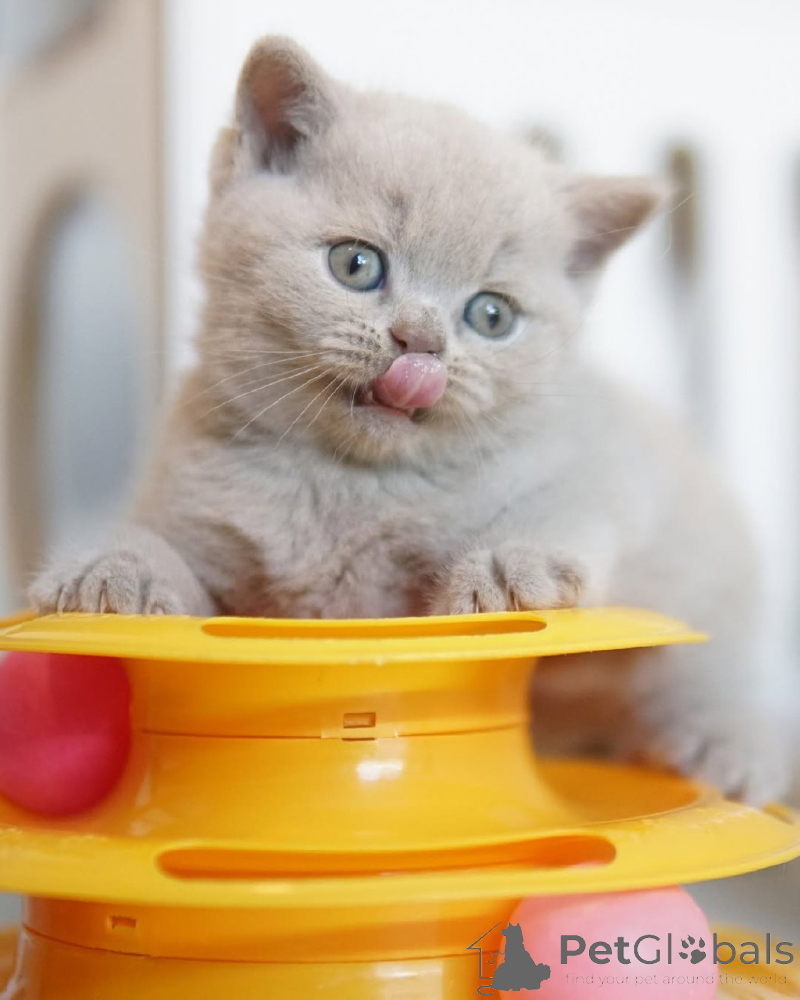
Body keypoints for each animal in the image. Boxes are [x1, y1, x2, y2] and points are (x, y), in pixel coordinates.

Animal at [30, 36, 787, 804]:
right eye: (356, 264)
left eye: (491, 314)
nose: (420, 343)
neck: (346, 484)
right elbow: (177, 575)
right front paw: (111, 568)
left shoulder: (596, 464)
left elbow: (567, 513)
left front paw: (509, 567)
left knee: (699, 671)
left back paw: (723, 748)